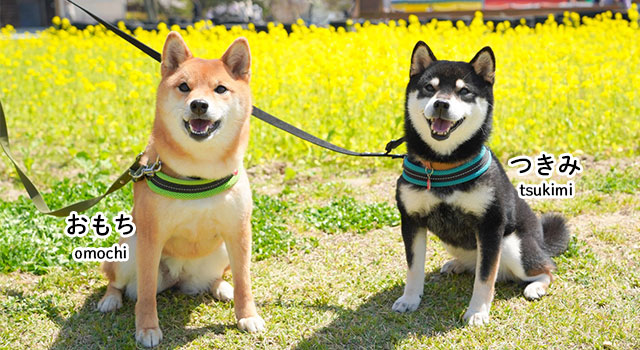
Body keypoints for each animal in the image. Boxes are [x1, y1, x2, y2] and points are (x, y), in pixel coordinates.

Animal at [95, 32, 264, 348]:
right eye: (184, 86)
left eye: (220, 89)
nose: (199, 104)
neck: (198, 173)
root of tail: (178, 277)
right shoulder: (150, 237)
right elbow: (146, 292)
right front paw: (147, 328)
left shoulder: (238, 231)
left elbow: (244, 281)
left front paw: (247, 315)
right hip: (129, 248)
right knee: (116, 282)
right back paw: (110, 300)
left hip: (222, 251)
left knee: (220, 277)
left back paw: (222, 288)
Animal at [396, 43, 568, 326]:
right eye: (429, 88)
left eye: (464, 91)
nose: (441, 103)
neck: (443, 164)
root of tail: (542, 241)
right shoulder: (411, 220)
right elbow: (413, 268)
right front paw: (409, 299)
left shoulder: (490, 225)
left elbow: (485, 277)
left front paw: (477, 312)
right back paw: (457, 265)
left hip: (512, 245)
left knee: (546, 269)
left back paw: (536, 286)